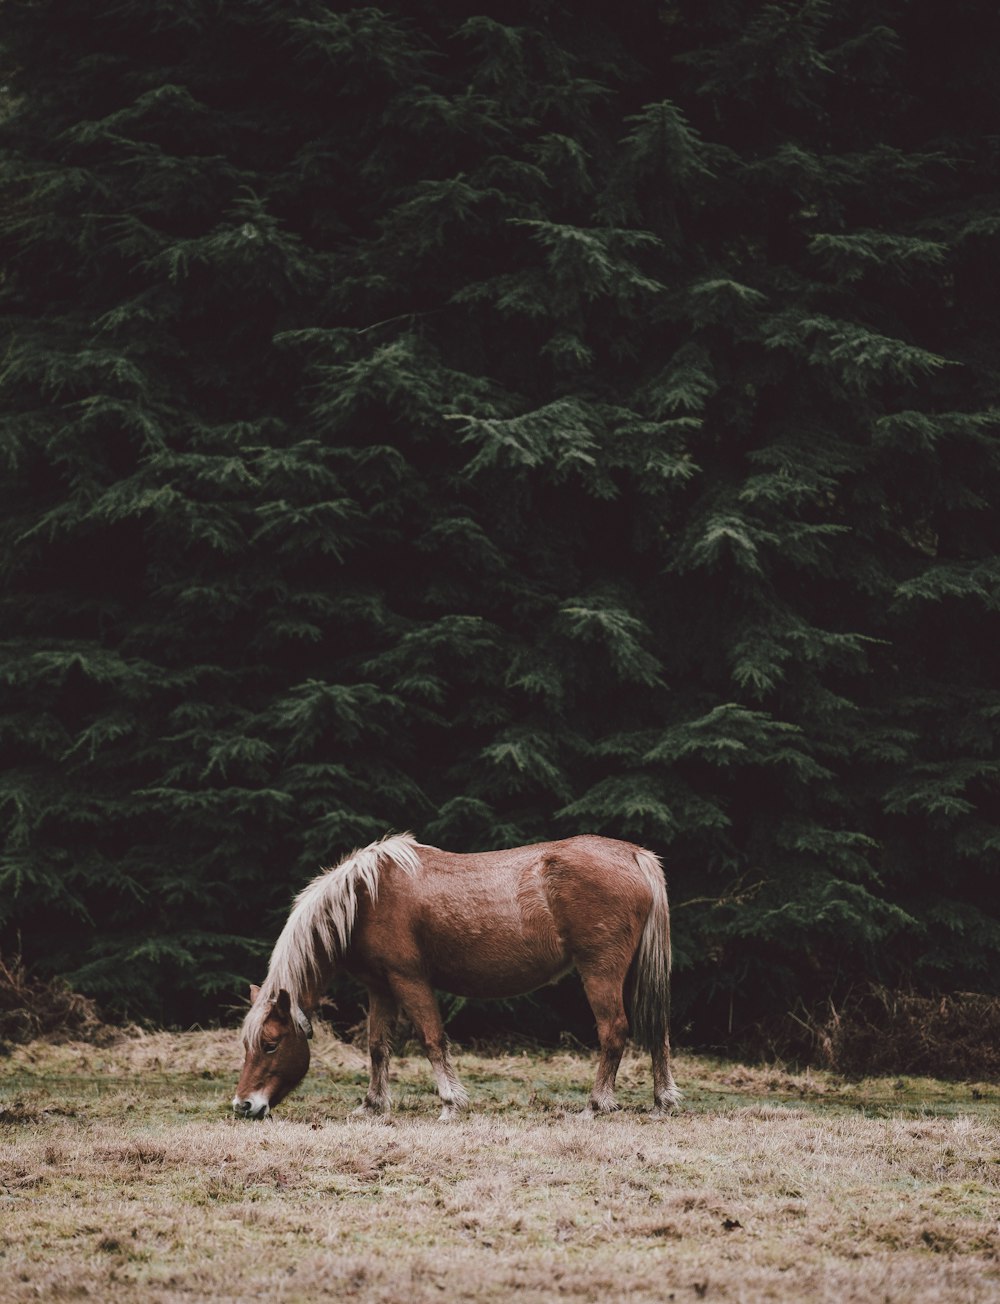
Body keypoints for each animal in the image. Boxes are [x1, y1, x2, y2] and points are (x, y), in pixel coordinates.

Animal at [232, 834, 677, 1121]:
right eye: (247, 1045)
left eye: (270, 1044)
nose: (243, 1106)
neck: (365, 898)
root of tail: (634, 855)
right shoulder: (380, 988)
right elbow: (377, 1047)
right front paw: (372, 1105)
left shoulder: (409, 980)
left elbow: (432, 1040)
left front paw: (450, 1104)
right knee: (657, 1030)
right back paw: (661, 1102)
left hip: (600, 971)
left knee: (613, 1031)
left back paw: (595, 1106)